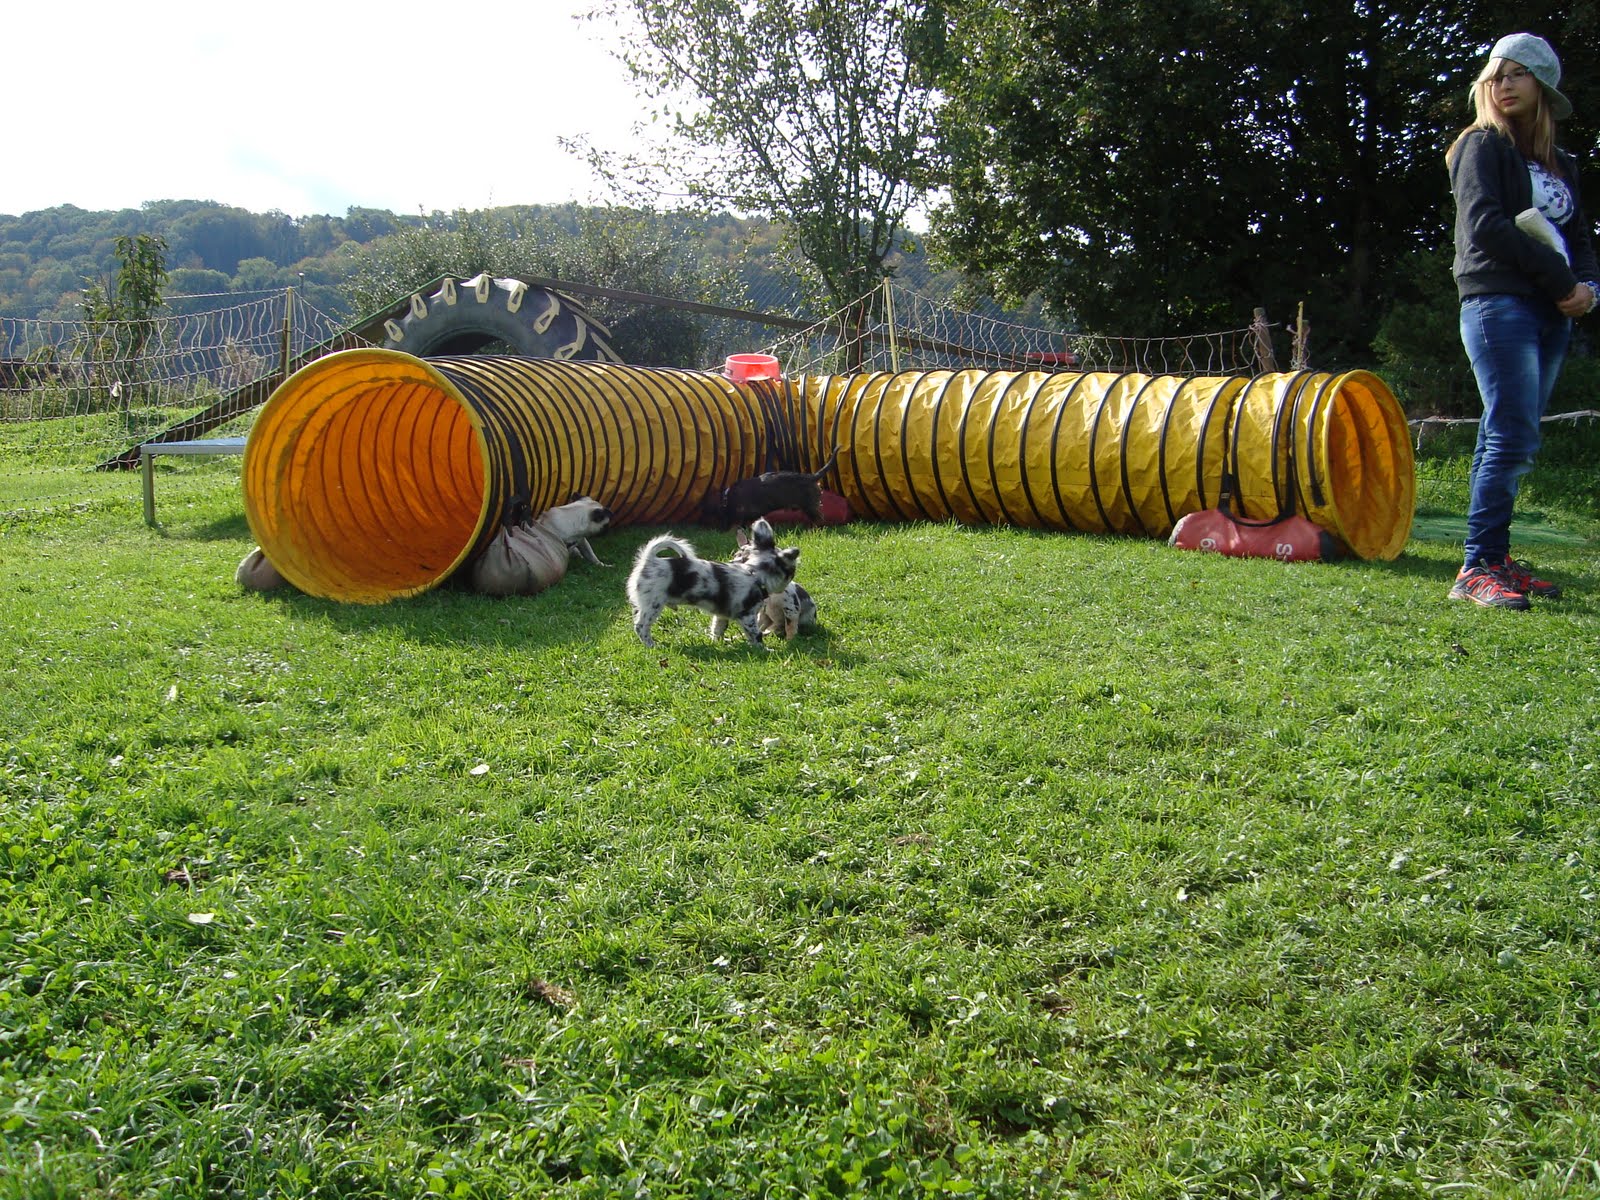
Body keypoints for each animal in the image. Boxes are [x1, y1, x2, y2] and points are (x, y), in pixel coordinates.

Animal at [626, 517, 799, 649]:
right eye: (792, 573)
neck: (755, 572)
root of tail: (649, 560)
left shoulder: (721, 615)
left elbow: (718, 629)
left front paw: (718, 643)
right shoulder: (748, 616)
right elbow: (756, 635)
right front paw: (763, 650)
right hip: (653, 604)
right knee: (640, 626)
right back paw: (651, 645)